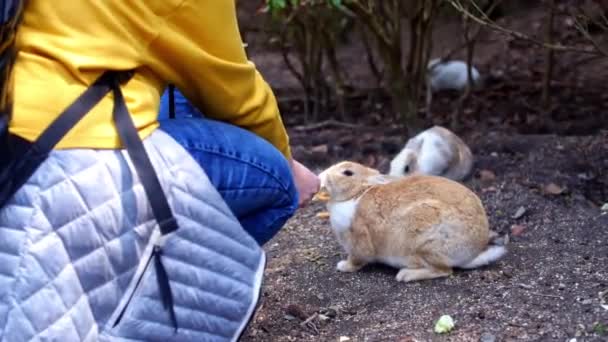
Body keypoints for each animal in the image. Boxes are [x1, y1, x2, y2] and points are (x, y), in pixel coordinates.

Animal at [316, 162, 506, 282]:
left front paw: (343, 266)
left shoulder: (359, 238)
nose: (321, 176)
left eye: (347, 173)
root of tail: (472, 254)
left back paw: (405, 275)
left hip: (426, 241)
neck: (357, 193)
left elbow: (357, 259)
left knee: (444, 270)